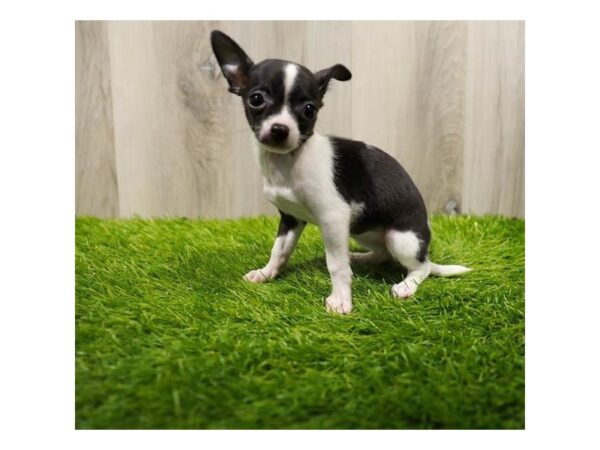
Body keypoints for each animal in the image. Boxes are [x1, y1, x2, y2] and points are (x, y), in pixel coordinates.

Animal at [210, 29, 468, 314]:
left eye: (309, 110)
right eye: (256, 99)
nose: (280, 129)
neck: (288, 162)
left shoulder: (333, 218)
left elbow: (336, 265)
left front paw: (341, 299)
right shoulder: (291, 218)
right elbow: (279, 250)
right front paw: (267, 273)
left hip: (401, 238)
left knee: (421, 267)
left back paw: (405, 286)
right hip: (361, 230)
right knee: (383, 254)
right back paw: (359, 257)